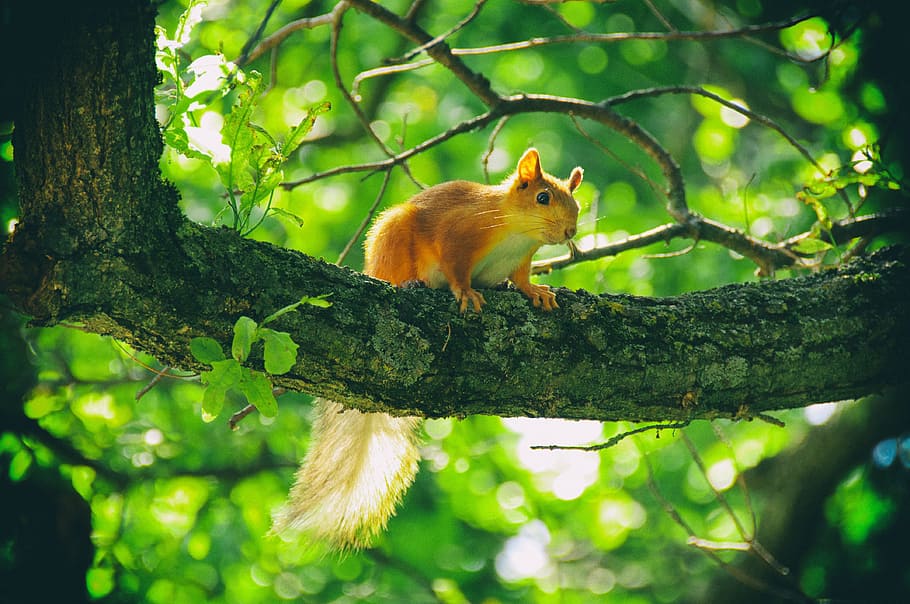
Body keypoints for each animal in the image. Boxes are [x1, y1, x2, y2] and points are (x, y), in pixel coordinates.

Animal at [272, 148, 583, 550]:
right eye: (543, 197)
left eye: (576, 203)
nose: (570, 232)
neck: (515, 232)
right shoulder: (458, 234)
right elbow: (455, 268)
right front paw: (466, 292)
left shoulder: (521, 259)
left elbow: (521, 279)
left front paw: (536, 292)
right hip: (392, 238)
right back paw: (410, 282)